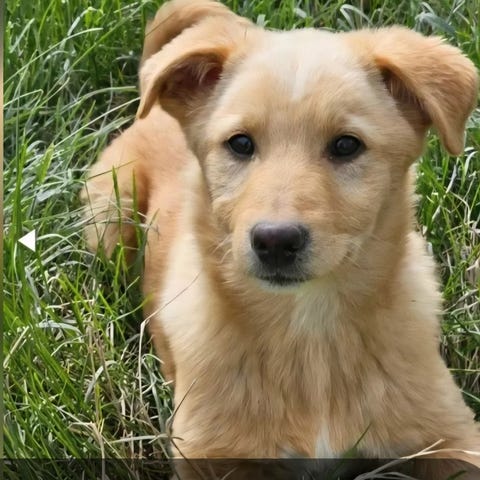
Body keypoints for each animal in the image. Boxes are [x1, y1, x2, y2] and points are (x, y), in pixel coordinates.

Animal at [82, 0, 480, 477]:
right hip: (109, 210)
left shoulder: (453, 436)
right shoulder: (209, 455)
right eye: (240, 144)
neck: (309, 335)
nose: (275, 241)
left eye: (346, 145)